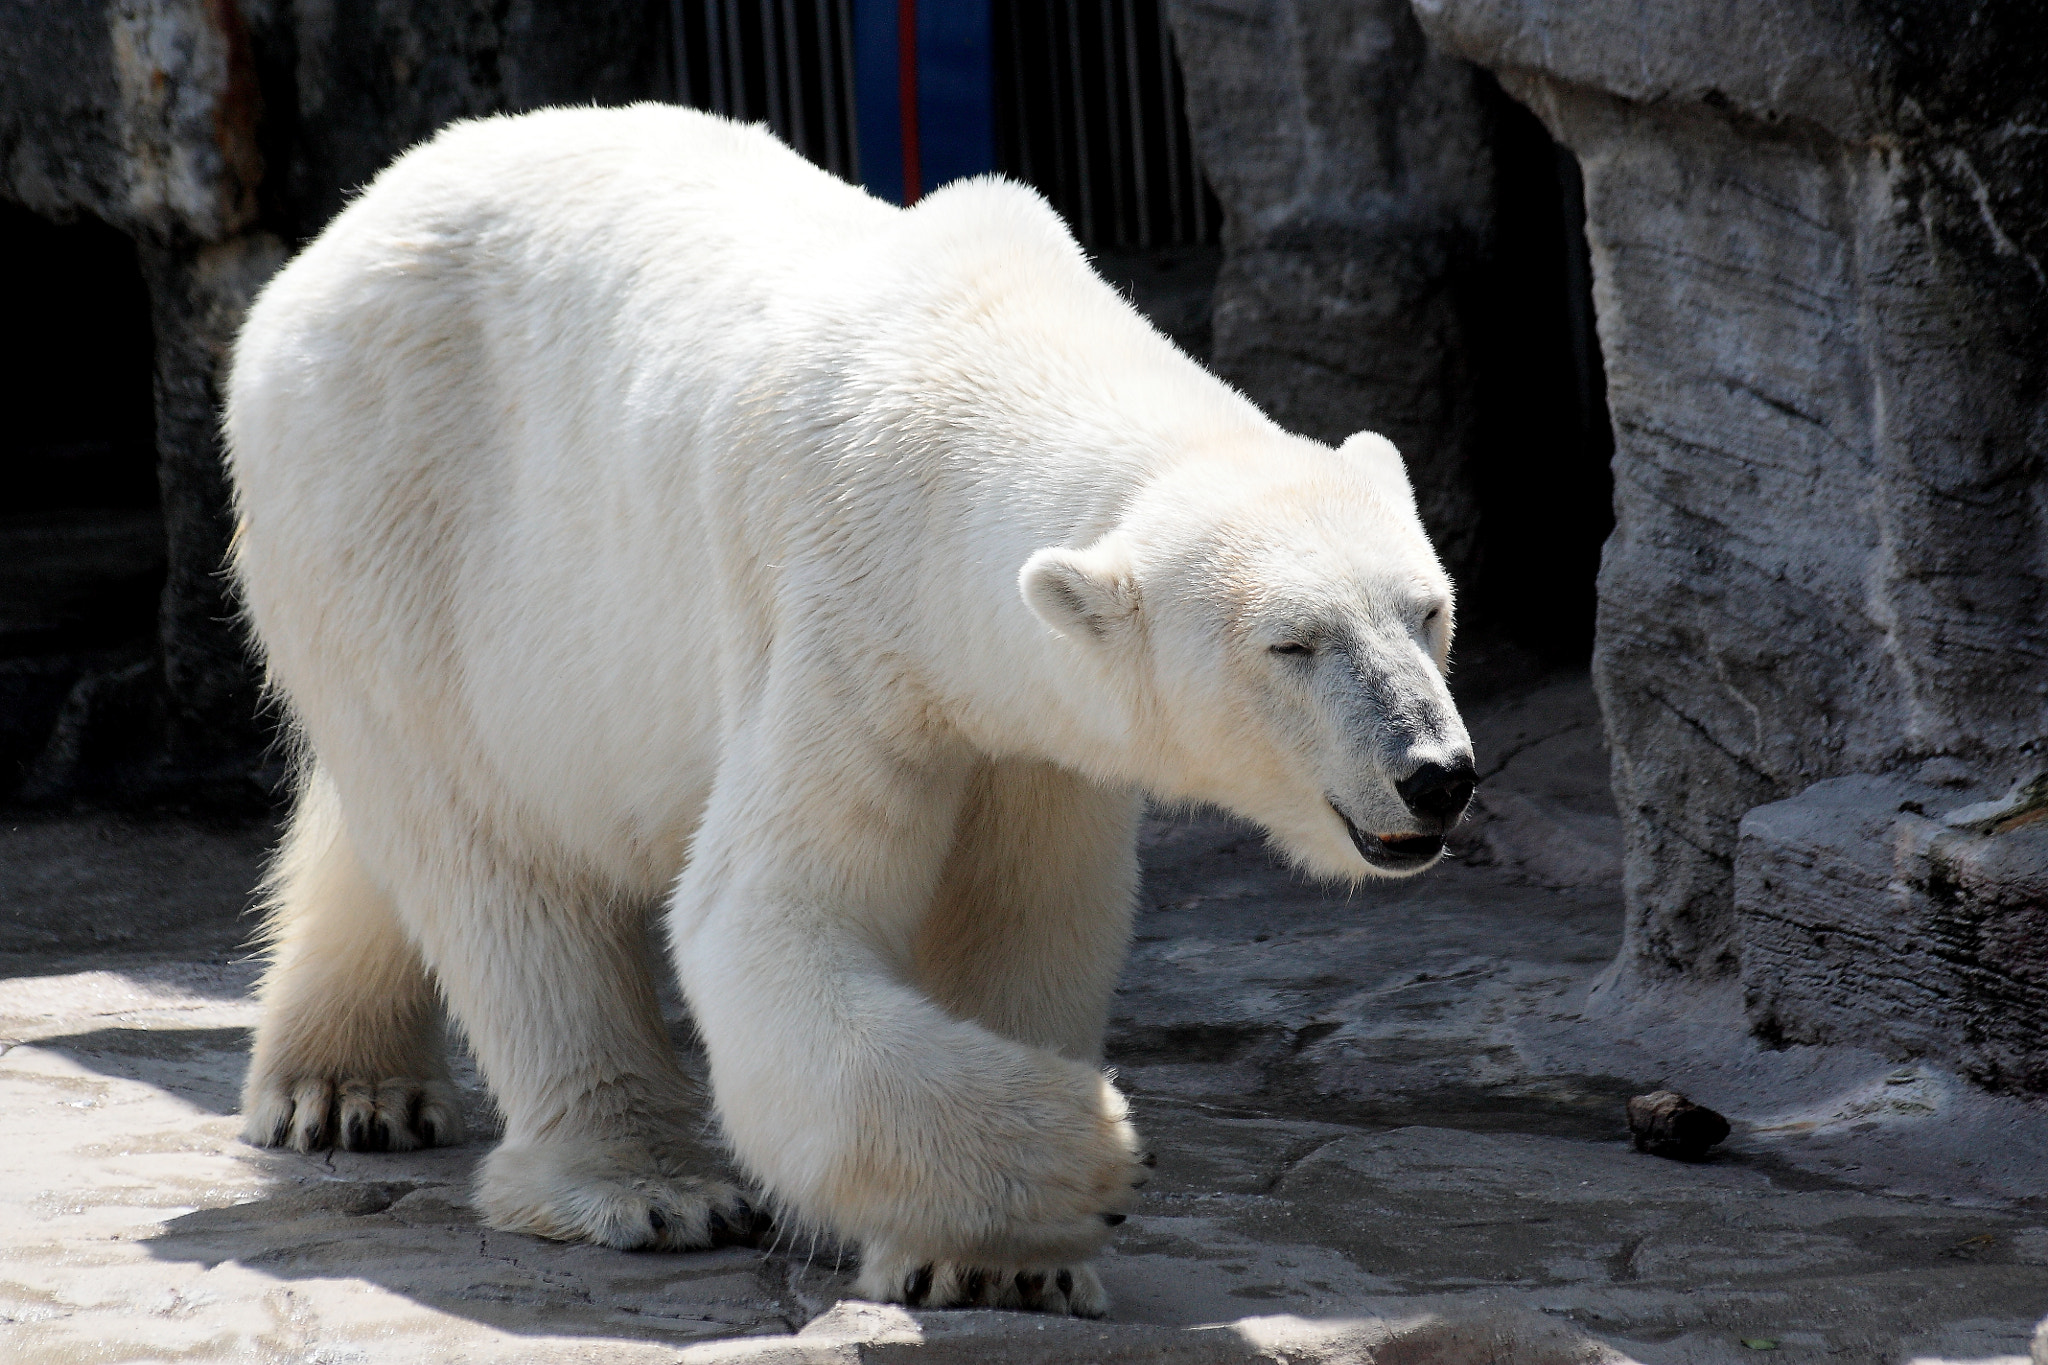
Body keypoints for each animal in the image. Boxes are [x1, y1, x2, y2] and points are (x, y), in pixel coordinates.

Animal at [224, 104, 1475, 1317]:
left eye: (1427, 611)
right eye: (1291, 644)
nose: (1435, 772)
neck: (972, 363)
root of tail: (327, 247)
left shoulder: (1030, 723)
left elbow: (1027, 915)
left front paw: (1002, 1262)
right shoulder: (843, 605)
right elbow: (766, 917)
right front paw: (1087, 1157)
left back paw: (343, 1087)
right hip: (394, 517)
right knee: (494, 852)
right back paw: (640, 1183)